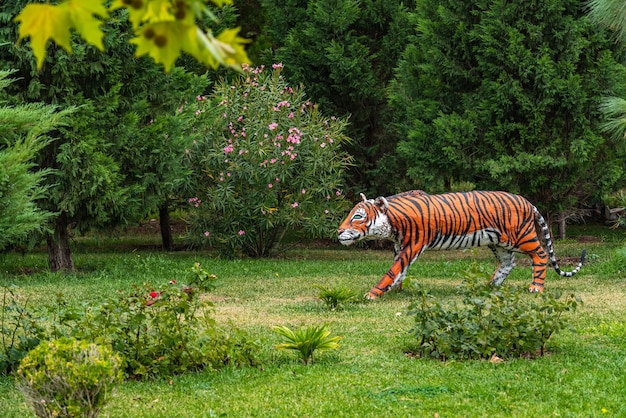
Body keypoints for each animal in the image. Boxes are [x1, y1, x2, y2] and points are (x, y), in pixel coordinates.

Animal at [336, 191, 584, 298]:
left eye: (357, 216)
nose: (338, 232)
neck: (392, 223)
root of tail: (528, 201)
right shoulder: (400, 245)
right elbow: (399, 270)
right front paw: (396, 289)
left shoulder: (413, 245)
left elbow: (393, 269)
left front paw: (373, 293)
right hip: (499, 242)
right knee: (508, 263)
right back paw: (489, 287)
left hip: (522, 237)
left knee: (541, 254)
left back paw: (536, 288)